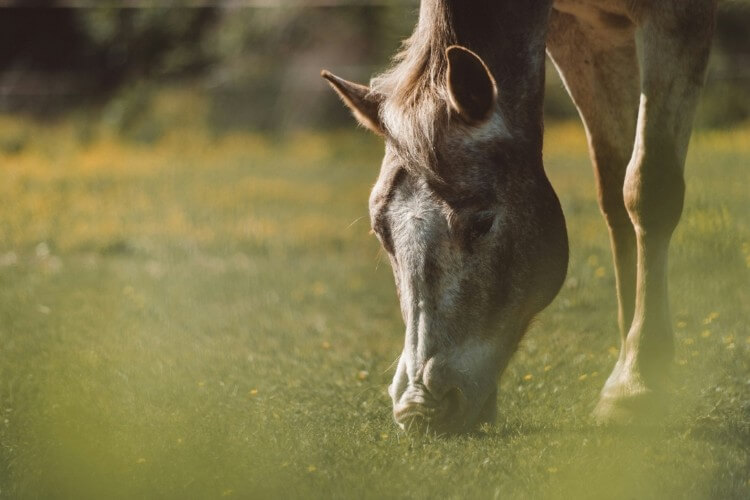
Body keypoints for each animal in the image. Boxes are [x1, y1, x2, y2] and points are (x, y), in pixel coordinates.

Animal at [322, 0, 717, 434]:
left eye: (481, 222)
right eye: (381, 233)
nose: (419, 409)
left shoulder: (677, 18)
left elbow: (648, 190)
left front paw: (636, 382)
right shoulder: (584, 33)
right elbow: (616, 191)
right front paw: (636, 362)